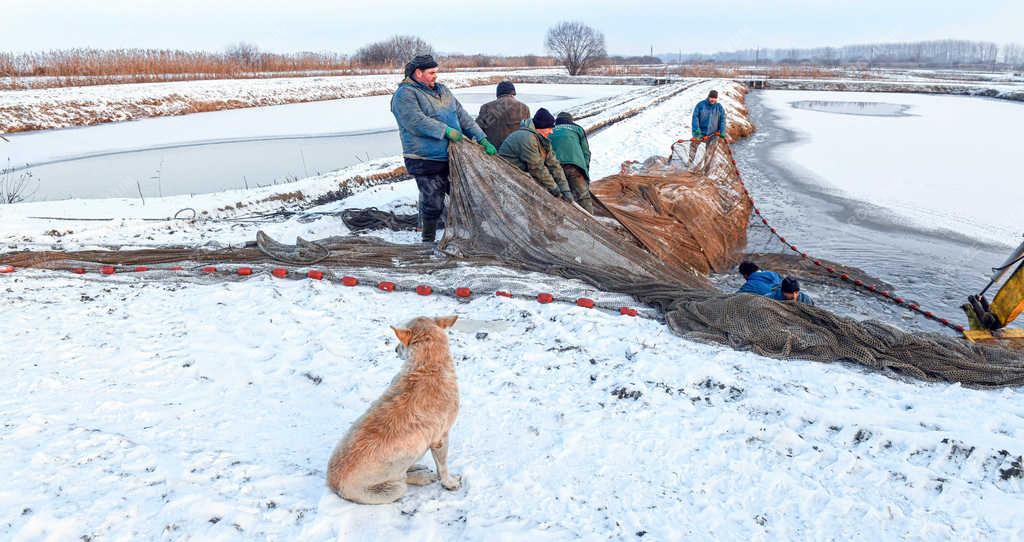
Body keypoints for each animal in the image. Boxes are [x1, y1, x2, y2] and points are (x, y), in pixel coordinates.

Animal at [325, 313, 462, 502]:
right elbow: (442, 466)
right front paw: (449, 482)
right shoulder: (441, 437)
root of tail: (332, 483)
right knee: (403, 480)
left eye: (402, 344)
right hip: (394, 489)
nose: (395, 350)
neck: (428, 365)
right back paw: (422, 477)